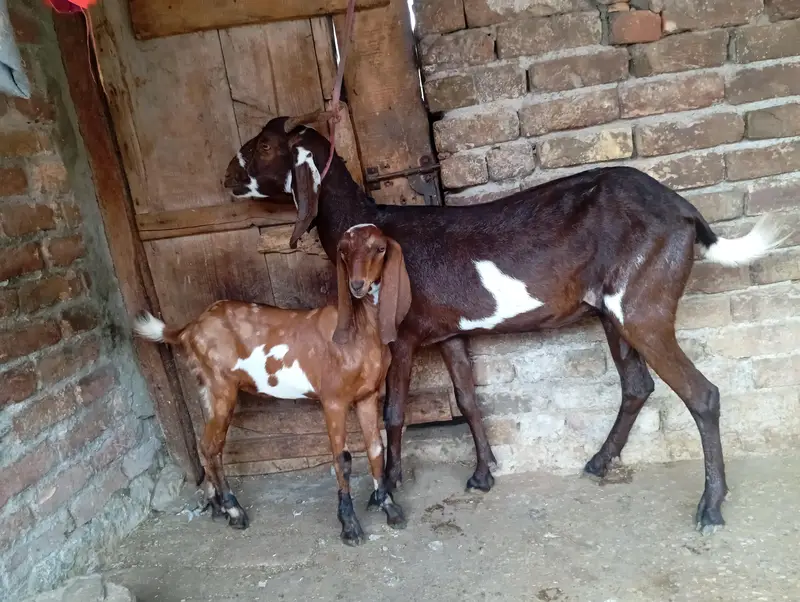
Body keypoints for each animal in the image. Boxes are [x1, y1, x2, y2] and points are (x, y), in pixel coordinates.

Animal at [133, 224, 411, 545]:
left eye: (380, 248)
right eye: (343, 251)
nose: (357, 285)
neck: (361, 331)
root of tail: (189, 328)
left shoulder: (367, 396)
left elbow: (376, 447)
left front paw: (389, 507)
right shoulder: (333, 400)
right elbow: (342, 459)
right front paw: (350, 525)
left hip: (206, 389)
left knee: (205, 445)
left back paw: (217, 507)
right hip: (221, 388)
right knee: (213, 446)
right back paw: (234, 511)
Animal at [223, 112, 785, 534]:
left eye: (267, 145)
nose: (226, 176)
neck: (372, 226)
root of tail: (687, 212)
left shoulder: (402, 337)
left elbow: (394, 413)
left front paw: (389, 489)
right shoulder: (450, 334)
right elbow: (469, 399)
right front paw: (483, 473)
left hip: (644, 306)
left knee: (701, 394)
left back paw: (710, 507)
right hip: (613, 313)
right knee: (637, 385)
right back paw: (599, 463)